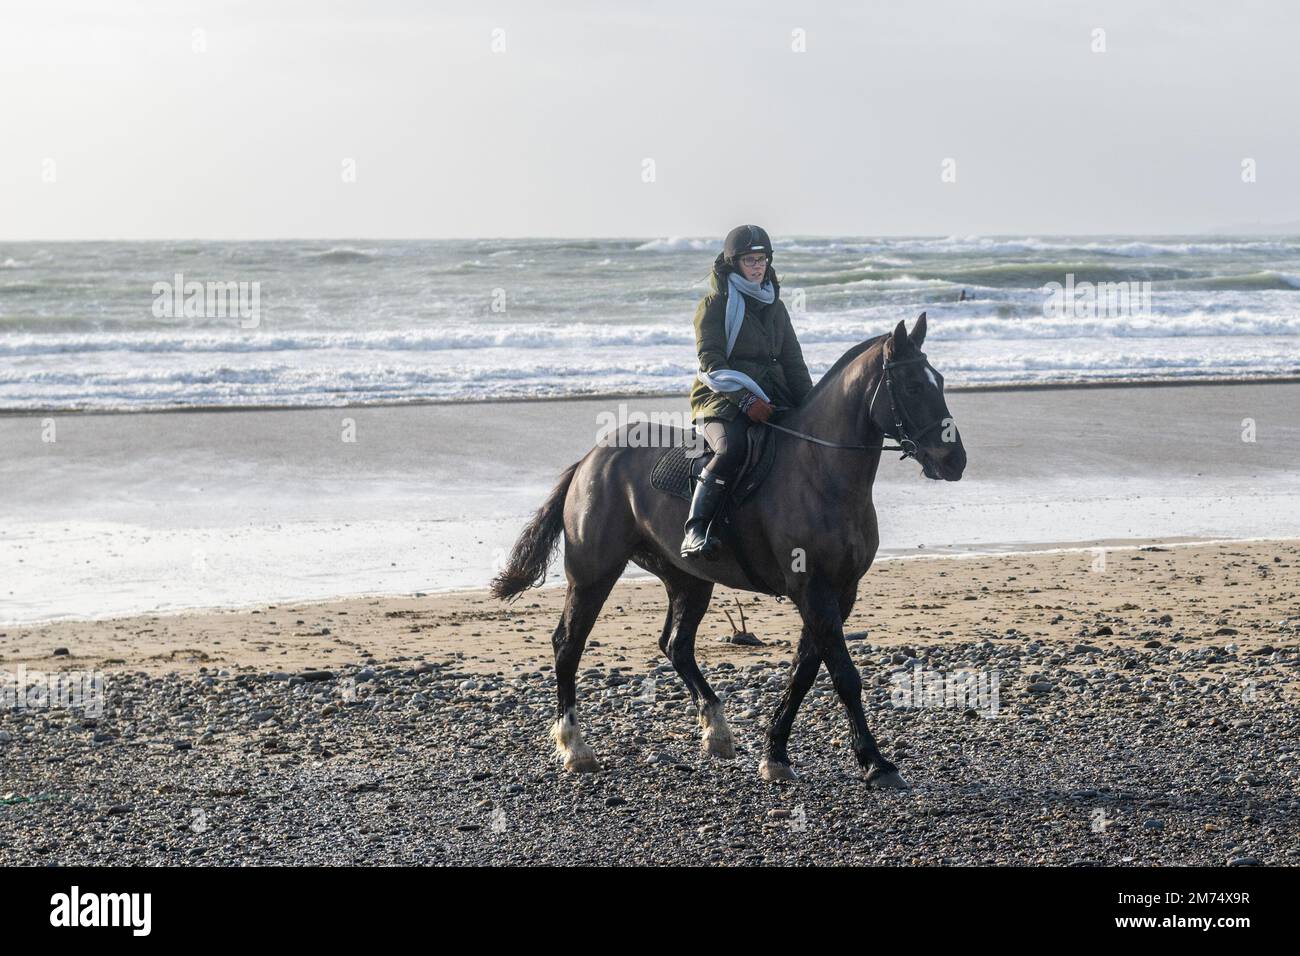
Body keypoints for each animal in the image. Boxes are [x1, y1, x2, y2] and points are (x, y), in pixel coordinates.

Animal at [490, 313, 966, 789]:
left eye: (939, 381)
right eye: (912, 387)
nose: (955, 461)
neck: (820, 471)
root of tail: (590, 459)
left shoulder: (840, 591)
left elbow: (803, 672)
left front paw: (775, 754)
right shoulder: (812, 590)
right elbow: (843, 676)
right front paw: (875, 762)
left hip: (688, 579)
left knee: (676, 645)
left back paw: (717, 731)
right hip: (593, 574)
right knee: (568, 644)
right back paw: (575, 748)